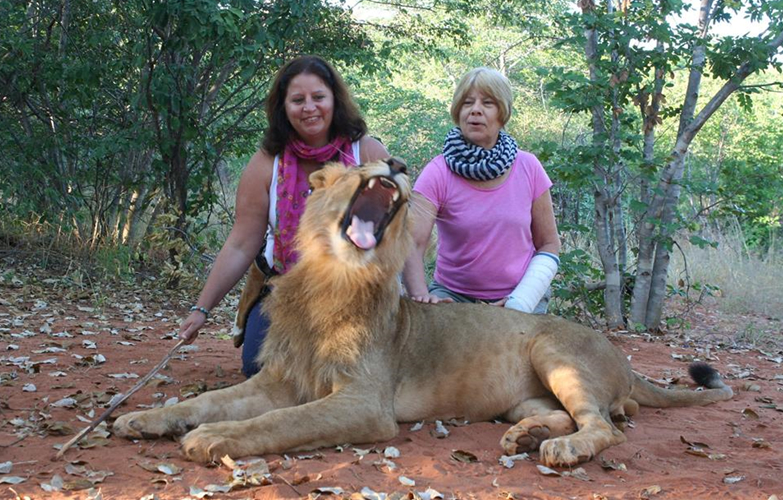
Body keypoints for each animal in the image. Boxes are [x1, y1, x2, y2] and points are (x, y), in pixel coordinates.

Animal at [113, 158, 733, 467]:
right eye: (354, 165)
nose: (397, 163)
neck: (332, 277)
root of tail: (625, 360)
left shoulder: (365, 403)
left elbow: (279, 423)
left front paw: (212, 439)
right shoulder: (280, 379)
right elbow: (205, 400)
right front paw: (142, 419)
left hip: (552, 349)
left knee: (604, 427)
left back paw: (561, 449)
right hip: (526, 393)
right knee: (577, 415)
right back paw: (528, 435)